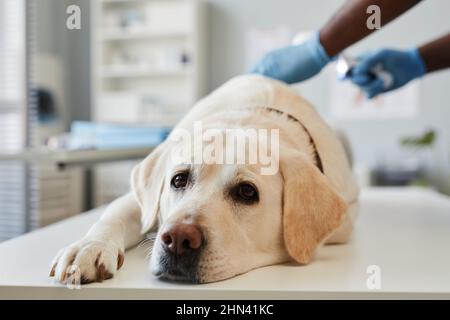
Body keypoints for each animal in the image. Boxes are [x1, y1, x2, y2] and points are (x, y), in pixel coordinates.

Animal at [50, 75, 358, 284]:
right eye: (178, 180)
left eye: (247, 192)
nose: (178, 238)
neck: (250, 119)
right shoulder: (140, 203)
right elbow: (113, 216)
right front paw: (88, 248)